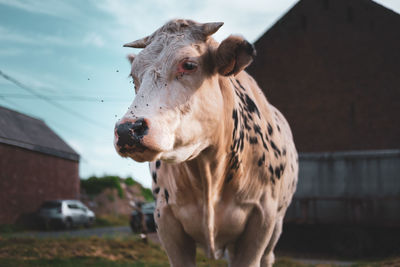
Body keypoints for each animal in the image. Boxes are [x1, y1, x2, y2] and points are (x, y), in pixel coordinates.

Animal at [114, 19, 298, 267]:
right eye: (134, 75)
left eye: (189, 64)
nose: (127, 130)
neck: (209, 172)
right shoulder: (166, 220)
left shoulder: (262, 220)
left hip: (276, 226)